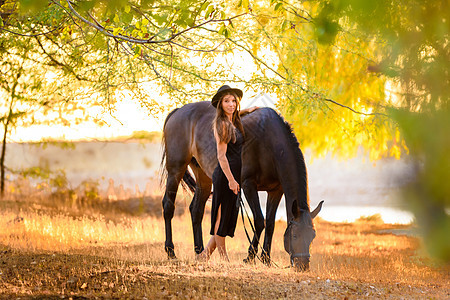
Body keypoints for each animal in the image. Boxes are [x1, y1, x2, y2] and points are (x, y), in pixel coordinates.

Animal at [162, 101, 324, 270]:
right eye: (295, 235)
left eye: (312, 236)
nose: (303, 266)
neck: (269, 141)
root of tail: (177, 111)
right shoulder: (248, 185)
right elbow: (259, 221)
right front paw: (250, 257)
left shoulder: (276, 191)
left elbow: (270, 224)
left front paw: (266, 259)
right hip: (175, 170)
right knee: (168, 206)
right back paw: (171, 252)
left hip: (203, 177)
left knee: (196, 210)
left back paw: (199, 252)